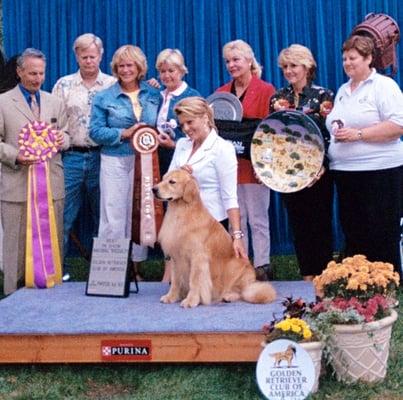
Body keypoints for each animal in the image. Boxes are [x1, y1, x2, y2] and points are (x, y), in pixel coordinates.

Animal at [152, 167, 278, 308]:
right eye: (163, 179)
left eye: (172, 182)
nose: (153, 189)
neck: (181, 211)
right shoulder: (175, 257)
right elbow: (175, 280)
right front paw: (171, 297)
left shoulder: (198, 258)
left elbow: (194, 281)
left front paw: (191, 300)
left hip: (235, 268)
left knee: (241, 292)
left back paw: (228, 296)